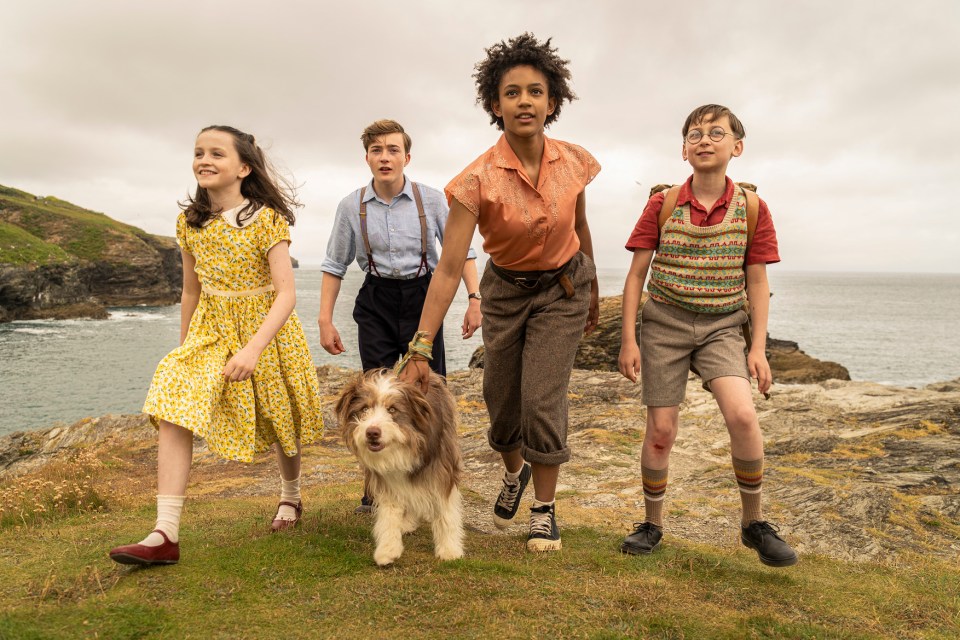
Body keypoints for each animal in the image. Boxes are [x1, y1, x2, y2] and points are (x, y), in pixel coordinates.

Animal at [338, 370, 464, 564]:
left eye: (392, 410)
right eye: (365, 409)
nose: (372, 433)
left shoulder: (442, 471)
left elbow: (445, 511)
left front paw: (449, 549)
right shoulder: (386, 480)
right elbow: (389, 514)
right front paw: (388, 549)